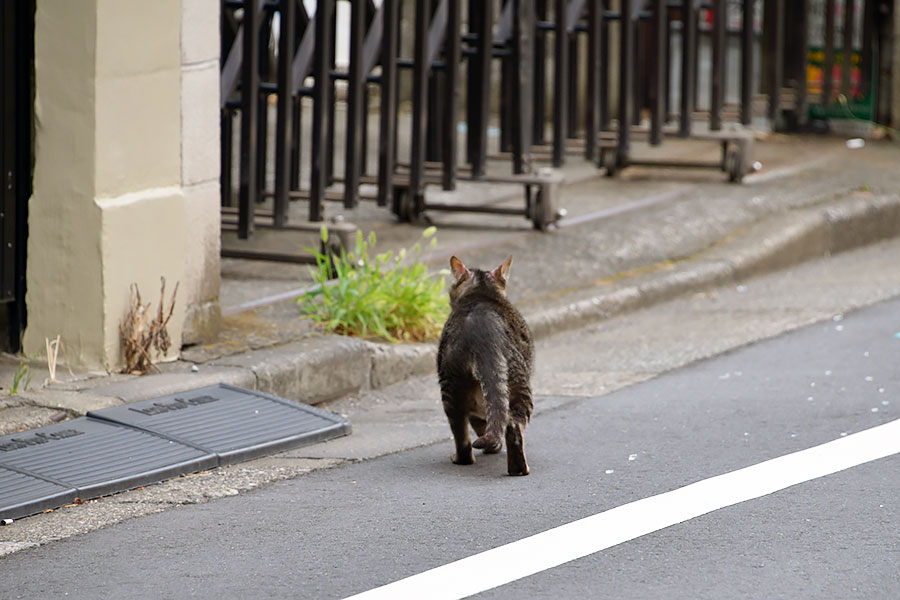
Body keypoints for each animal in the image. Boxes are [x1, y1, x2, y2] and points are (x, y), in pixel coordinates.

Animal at [436, 255, 536, 476]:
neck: (480, 293)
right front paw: (493, 447)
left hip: (451, 389)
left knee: (463, 436)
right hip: (518, 384)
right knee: (510, 425)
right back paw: (518, 468)